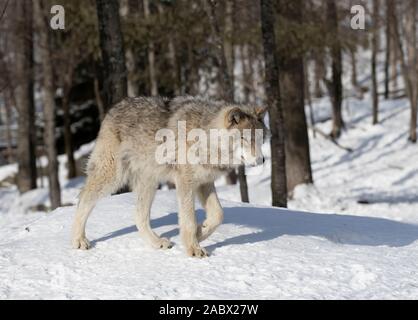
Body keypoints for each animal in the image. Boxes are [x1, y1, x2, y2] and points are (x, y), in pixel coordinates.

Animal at [72, 95, 266, 258]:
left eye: (261, 139)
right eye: (246, 139)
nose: (262, 160)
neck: (205, 137)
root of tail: (113, 109)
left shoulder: (205, 182)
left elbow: (218, 214)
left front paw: (200, 232)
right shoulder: (185, 183)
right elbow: (188, 219)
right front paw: (193, 248)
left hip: (149, 183)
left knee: (139, 216)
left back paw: (157, 242)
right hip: (112, 177)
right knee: (83, 199)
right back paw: (78, 240)